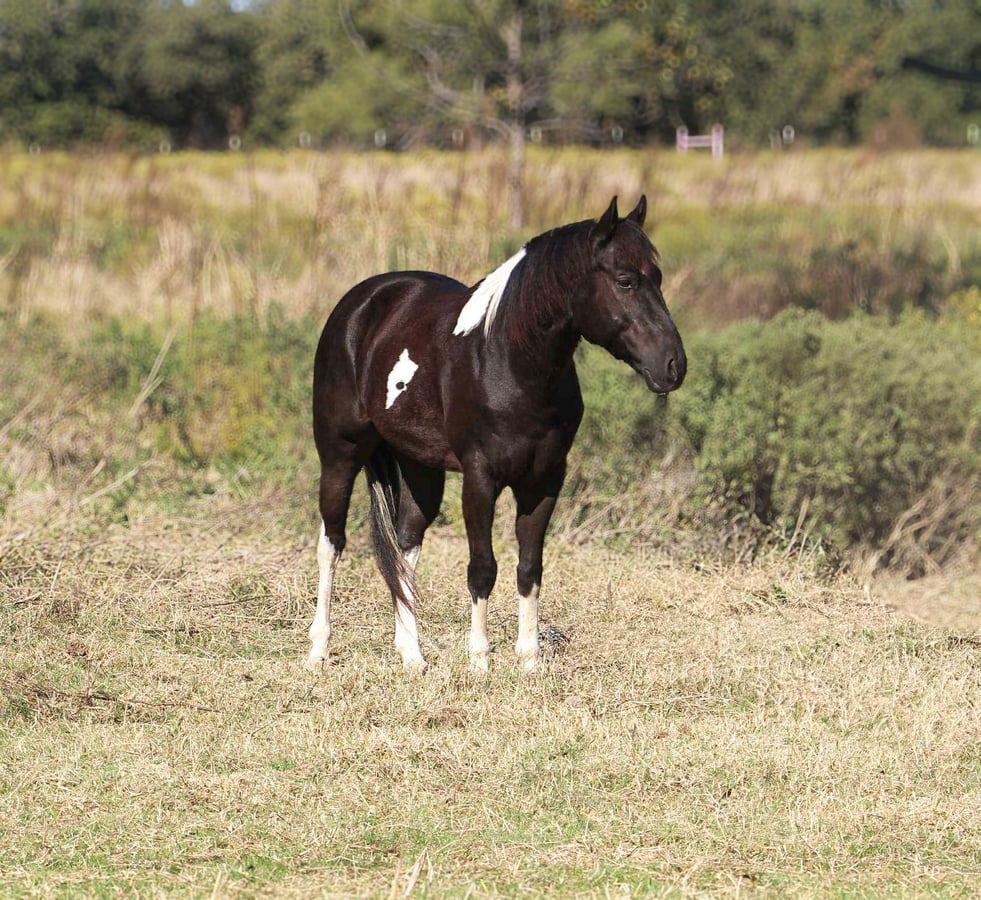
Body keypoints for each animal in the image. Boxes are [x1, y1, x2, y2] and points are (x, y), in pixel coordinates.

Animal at [307, 196, 686, 673]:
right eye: (625, 280)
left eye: (658, 277)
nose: (673, 366)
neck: (509, 362)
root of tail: (361, 303)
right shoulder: (480, 478)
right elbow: (482, 567)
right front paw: (480, 660)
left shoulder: (544, 480)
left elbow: (529, 567)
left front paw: (529, 660)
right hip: (340, 452)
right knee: (332, 542)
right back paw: (318, 650)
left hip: (419, 466)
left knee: (406, 543)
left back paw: (412, 655)